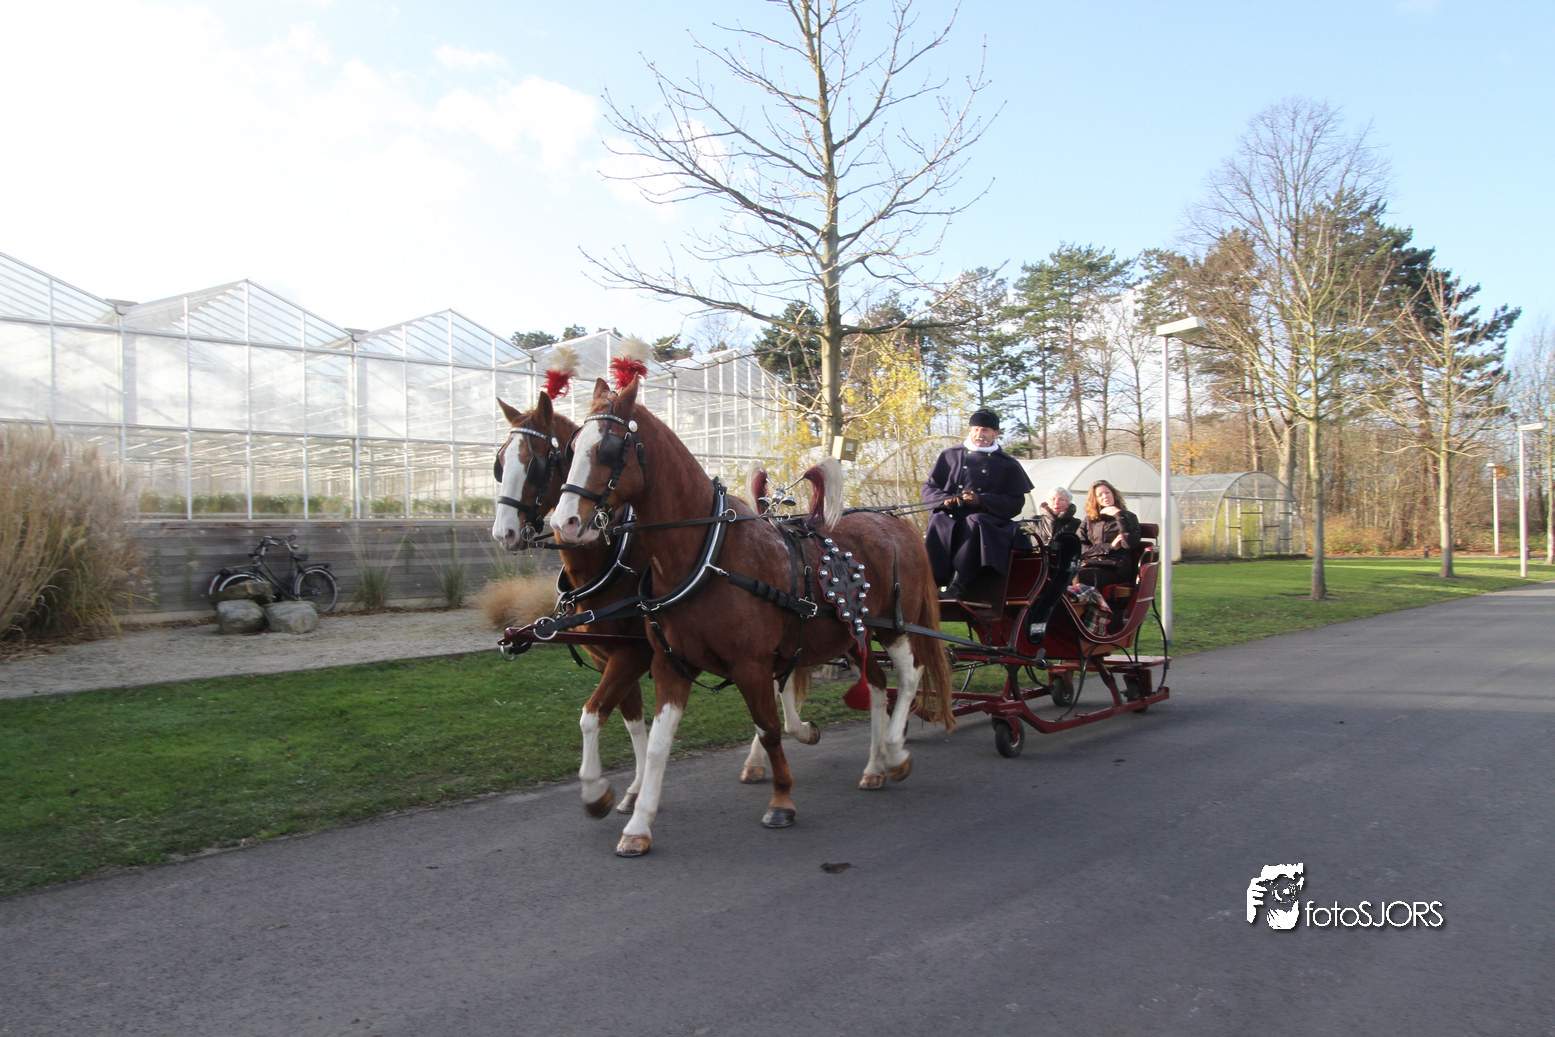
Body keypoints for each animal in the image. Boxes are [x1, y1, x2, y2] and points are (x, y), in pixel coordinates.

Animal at [490, 393, 818, 819]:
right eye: (500, 463)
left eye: (538, 462)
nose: (504, 533)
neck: (615, 556)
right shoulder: (611, 656)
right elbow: (631, 721)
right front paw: (635, 790)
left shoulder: (633, 655)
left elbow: (592, 715)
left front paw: (597, 791)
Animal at [550, 376, 954, 857]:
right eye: (571, 448)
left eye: (610, 449)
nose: (564, 522)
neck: (707, 554)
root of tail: (898, 524)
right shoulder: (670, 664)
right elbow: (657, 744)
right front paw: (638, 823)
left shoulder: (751, 664)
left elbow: (769, 728)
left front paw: (781, 800)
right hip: (852, 635)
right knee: (876, 686)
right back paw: (875, 766)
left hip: (893, 627)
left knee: (910, 676)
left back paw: (894, 752)